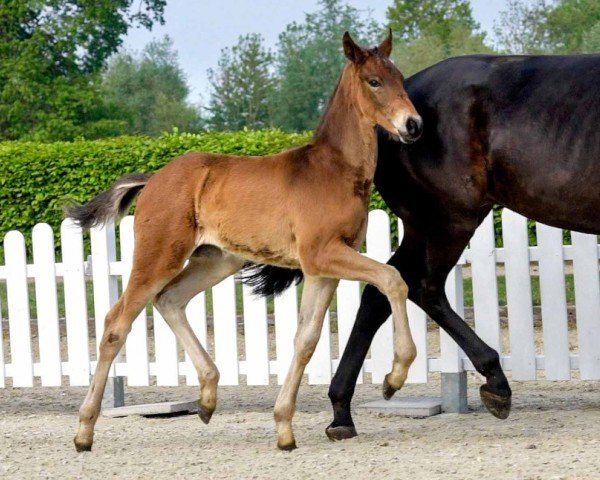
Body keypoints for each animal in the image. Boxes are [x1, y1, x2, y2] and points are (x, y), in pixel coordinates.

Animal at [69, 31, 422, 452]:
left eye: (400, 77)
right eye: (374, 81)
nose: (414, 125)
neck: (334, 170)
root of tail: (153, 178)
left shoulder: (322, 269)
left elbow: (306, 339)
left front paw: (284, 427)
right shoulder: (323, 254)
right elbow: (392, 279)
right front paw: (394, 377)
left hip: (216, 260)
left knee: (170, 299)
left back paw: (207, 398)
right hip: (159, 256)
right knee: (115, 324)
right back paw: (84, 431)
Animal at [247, 54, 600, 440]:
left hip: (430, 226)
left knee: (385, 289)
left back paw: (344, 410)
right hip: (447, 219)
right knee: (421, 286)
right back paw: (493, 382)